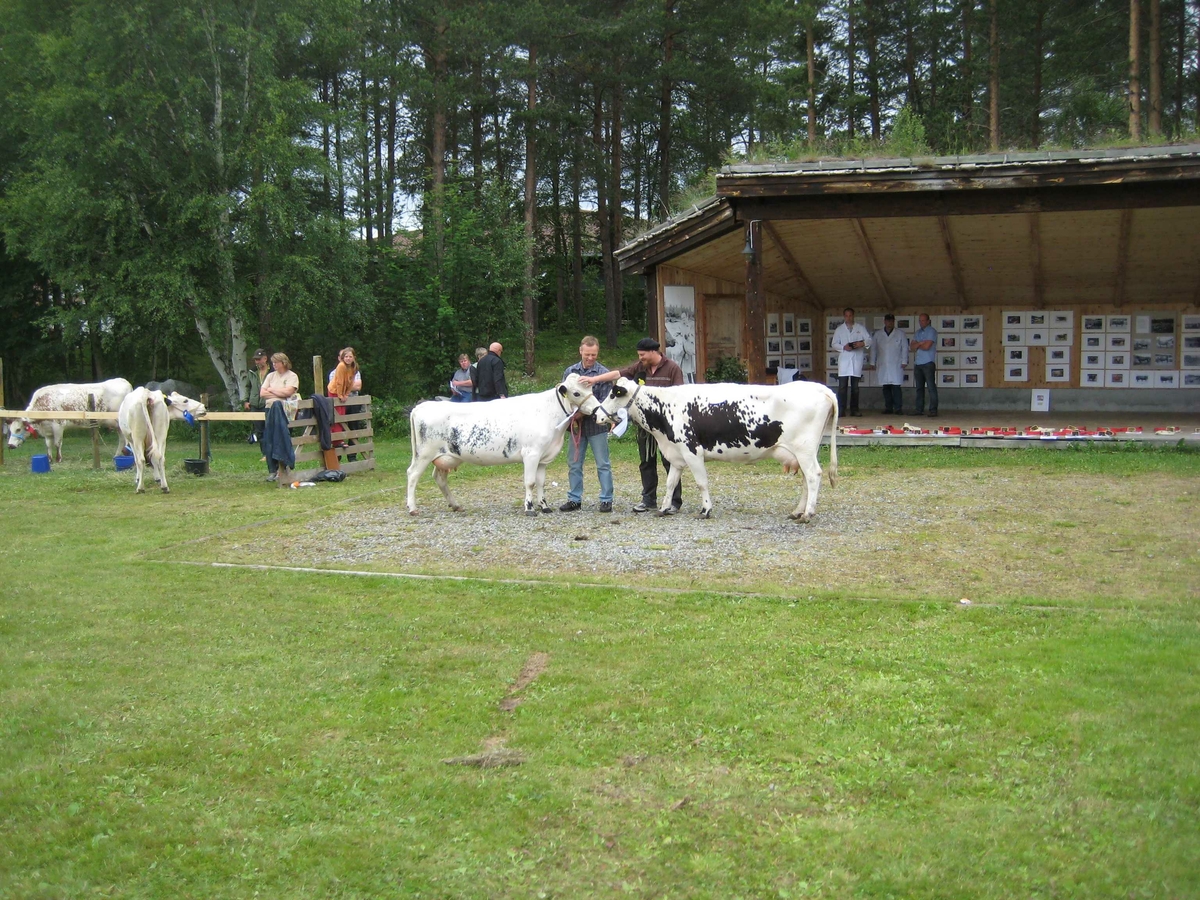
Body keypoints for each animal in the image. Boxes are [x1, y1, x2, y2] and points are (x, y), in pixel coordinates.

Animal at [405, 372, 609, 513]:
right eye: (576, 393)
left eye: (591, 389)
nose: (598, 411)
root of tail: (422, 406)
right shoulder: (531, 453)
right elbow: (530, 482)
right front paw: (529, 508)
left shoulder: (543, 457)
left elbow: (541, 482)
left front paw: (544, 506)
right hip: (423, 454)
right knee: (413, 475)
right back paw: (412, 508)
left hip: (443, 456)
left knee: (439, 478)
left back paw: (455, 505)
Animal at [597, 379, 835, 520]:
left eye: (613, 394)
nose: (597, 415)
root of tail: (819, 387)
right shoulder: (676, 455)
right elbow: (670, 483)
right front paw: (664, 509)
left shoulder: (692, 452)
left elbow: (701, 483)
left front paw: (705, 510)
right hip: (804, 452)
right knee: (806, 479)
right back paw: (797, 511)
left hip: (804, 449)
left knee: (813, 475)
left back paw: (808, 513)